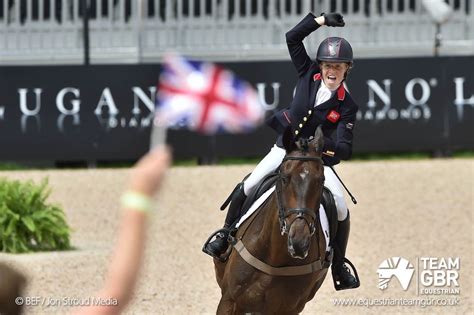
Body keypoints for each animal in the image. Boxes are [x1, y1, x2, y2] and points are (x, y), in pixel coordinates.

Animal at [213, 127, 332, 314]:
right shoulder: (229, 300)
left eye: (321, 180)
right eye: (284, 178)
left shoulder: (288, 309)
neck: (274, 258)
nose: (299, 242)